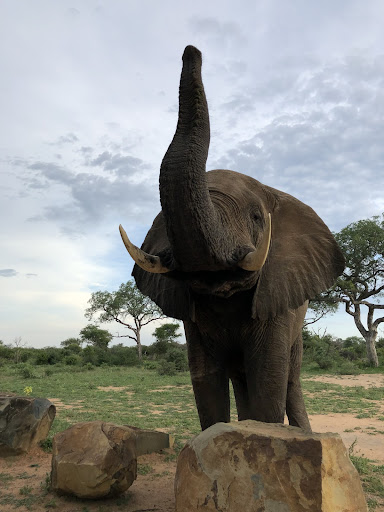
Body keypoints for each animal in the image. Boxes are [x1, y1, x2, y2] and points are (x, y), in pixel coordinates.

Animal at [120, 47, 344, 432]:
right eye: (164, 219)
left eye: (256, 217)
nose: (192, 52)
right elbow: (205, 381)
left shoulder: (276, 299)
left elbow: (268, 380)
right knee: (241, 379)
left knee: (290, 379)